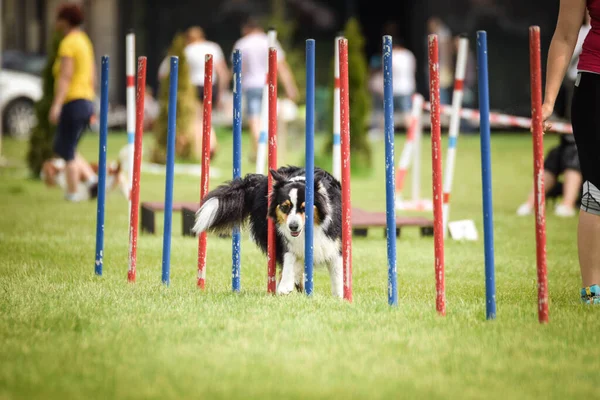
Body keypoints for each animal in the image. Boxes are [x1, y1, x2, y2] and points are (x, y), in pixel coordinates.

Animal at [192, 166, 342, 296]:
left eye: (304, 208)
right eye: (284, 207)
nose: (293, 226)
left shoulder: (334, 243)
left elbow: (337, 272)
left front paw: (340, 296)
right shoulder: (285, 239)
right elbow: (289, 257)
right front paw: (285, 285)